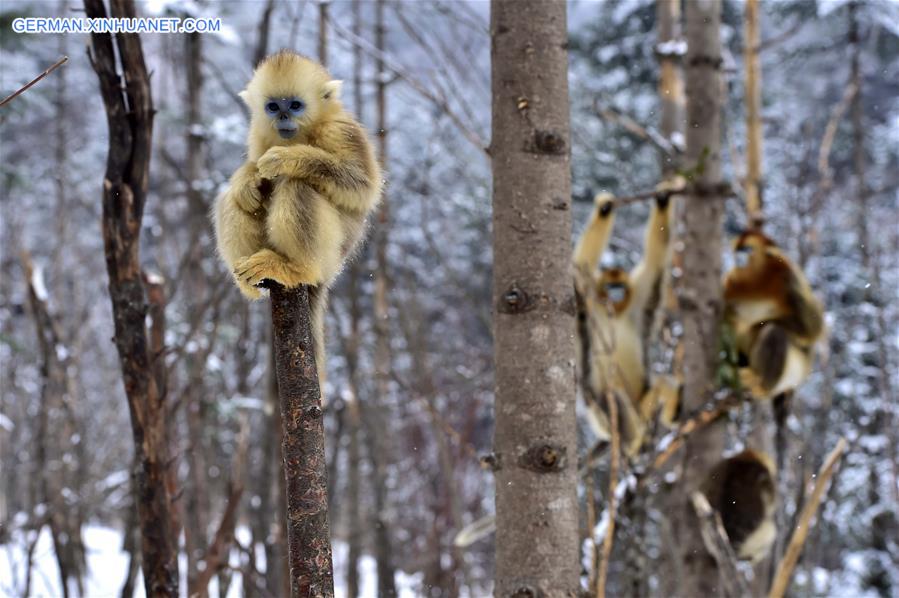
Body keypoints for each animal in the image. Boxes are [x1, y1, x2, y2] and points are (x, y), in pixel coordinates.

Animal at [214, 50, 384, 380]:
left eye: (294, 105)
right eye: (273, 106)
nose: (283, 118)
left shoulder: (340, 130)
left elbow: (363, 187)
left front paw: (287, 159)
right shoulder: (259, 131)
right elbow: (252, 176)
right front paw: (247, 180)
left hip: (329, 254)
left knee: (297, 185)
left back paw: (295, 268)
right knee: (233, 200)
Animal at [576, 189, 676, 454]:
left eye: (620, 287)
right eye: (610, 287)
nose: (615, 295)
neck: (615, 312)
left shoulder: (639, 298)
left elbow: (655, 258)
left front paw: (663, 198)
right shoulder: (587, 299)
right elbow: (579, 266)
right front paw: (604, 209)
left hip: (642, 402)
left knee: (662, 383)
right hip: (601, 414)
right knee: (615, 400)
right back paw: (636, 443)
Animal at [724, 232, 824, 400]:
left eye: (747, 249)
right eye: (738, 248)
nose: (739, 256)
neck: (758, 280)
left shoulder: (788, 277)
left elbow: (812, 329)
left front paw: (752, 326)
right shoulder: (730, 284)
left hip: (794, 371)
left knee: (774, 331)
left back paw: (760, 385)